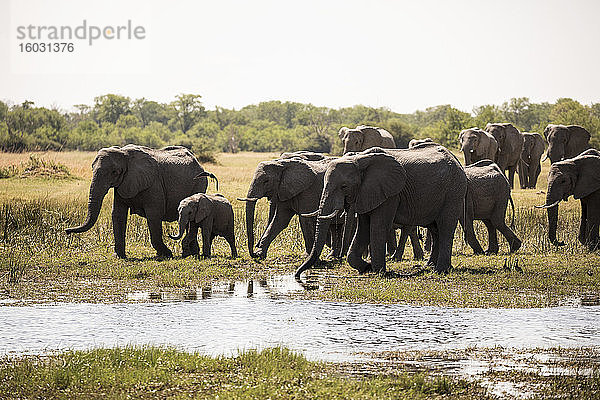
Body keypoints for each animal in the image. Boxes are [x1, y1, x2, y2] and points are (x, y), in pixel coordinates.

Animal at [66, 145, 216, 258]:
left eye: (114, 172)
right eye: (92, 168)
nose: (67, 231)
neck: (124, 153)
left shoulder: (154, 184)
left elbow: (154, 215)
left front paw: (167, 254)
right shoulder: (123, 184)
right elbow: (118, 215)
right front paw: (120, 256)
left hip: (199, 183)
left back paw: (191, 254)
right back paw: (192, 253)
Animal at [296, 144, 468, 278]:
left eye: (344, 186)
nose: (297, 275)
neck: (360, 159)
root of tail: (457, 161)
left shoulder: (390, 193)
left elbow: (378, 226)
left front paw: (379, 272)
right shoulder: (367, 192)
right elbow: (363, 227)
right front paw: (366, 267)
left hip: (453, 192)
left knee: (445, 227)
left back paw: (441, 270)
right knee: (434, 229)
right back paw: (430, 267)